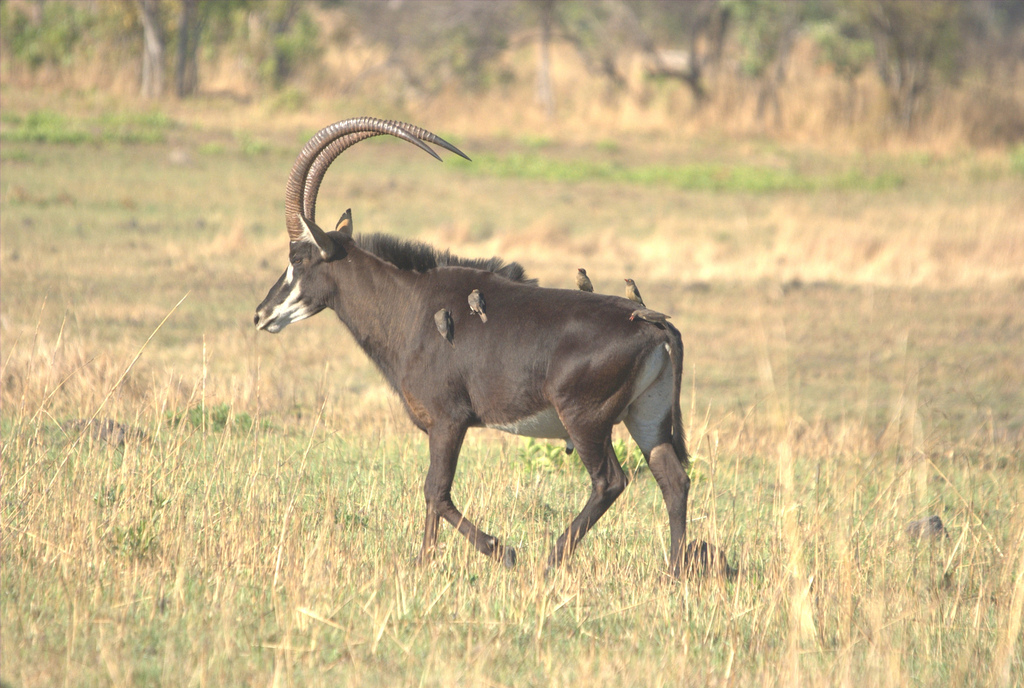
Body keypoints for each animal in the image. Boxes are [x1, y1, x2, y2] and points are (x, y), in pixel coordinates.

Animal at [254, 117, 691, 575]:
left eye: (297, 259)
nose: (261, 315)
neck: (411, 303)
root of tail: (653, 323)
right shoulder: (440, 425)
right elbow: (434, 494)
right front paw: (425, 561)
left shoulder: (449, 419)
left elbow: (436, 490)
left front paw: (499, 550)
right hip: (646, 417)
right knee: (673, 479)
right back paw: (674, 571)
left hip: (585, 420)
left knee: (610, 481)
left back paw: (550, 559)